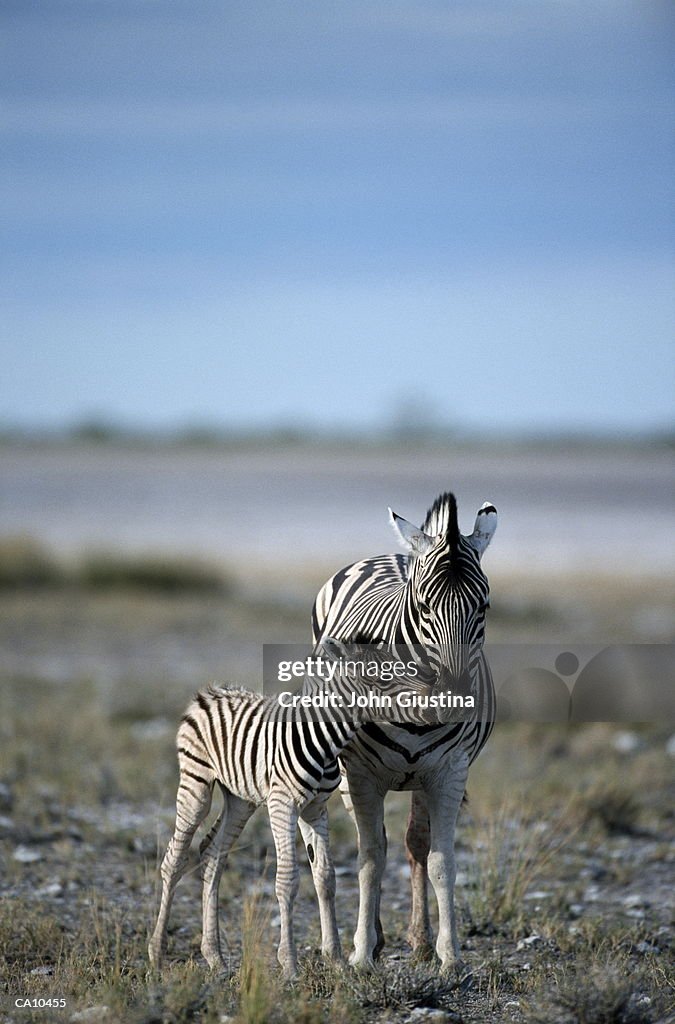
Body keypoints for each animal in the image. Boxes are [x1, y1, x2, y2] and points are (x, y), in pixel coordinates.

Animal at [148, 643, 432, 978]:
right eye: (383, 678)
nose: (430, 692)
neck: (326, 742)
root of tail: (211, 690)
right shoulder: (282, 804)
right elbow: (288, 879)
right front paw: (290, 964)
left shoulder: (315, 809)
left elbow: (325, 877)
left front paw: (336, 958)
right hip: (197, 783)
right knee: (174, 860)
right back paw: (157, 953)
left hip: (240, 798)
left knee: (213, 855)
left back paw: (215, 957)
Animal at [311, 491, 495, 970]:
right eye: (424, 607)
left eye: (483, 606)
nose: (453, 694)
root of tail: (396, 554)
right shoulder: (360, 776)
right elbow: (370, 859)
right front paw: (360, 955)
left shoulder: (449, 772)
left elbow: (440, 861)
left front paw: (450, 956)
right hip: (346, 774)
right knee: (371, 842)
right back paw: (368, 940)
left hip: (421, 778)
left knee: (415, 843)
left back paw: (420, 939)